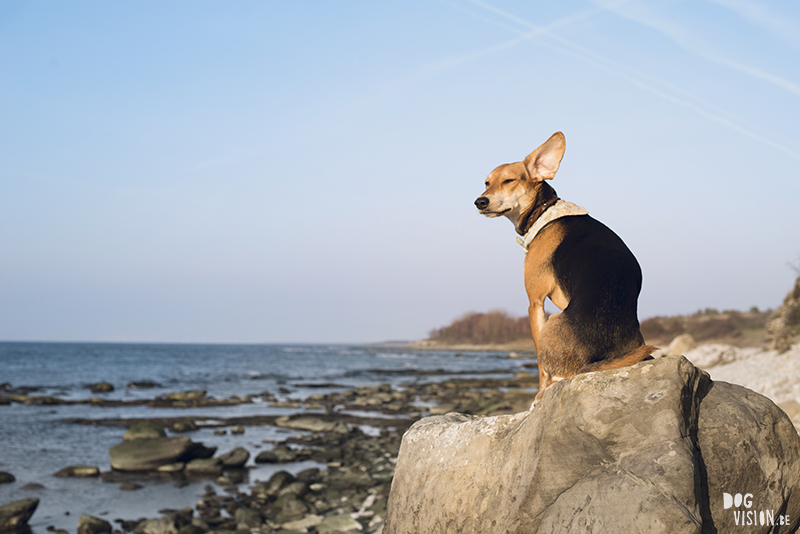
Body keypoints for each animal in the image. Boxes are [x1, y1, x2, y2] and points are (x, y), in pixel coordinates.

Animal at [476, 133, 656, 402]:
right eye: (487, 183)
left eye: (508, 180)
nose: (480, 201)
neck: (544, 210)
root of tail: (595, 359)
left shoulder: (535, 303)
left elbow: (541, 366)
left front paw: (539, 393)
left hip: (551, 323)